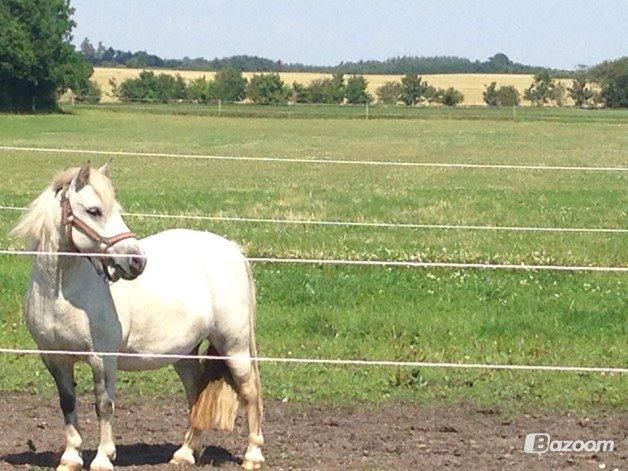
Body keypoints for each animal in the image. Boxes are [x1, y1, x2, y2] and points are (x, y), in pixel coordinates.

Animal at [12, 163, 262, 471]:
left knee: (249, 392)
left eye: (116, 209)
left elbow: (104, 405)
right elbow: (68, 403)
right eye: (94, 210)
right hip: (184, 353)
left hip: (234, 346)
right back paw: (185, 453)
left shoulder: (102, 359)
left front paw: (103, 458)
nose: (136, 261)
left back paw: (252, 455)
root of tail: (234, 251)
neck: (62, 294)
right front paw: (70, 458)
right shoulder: (55, 359)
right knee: (196, 392)